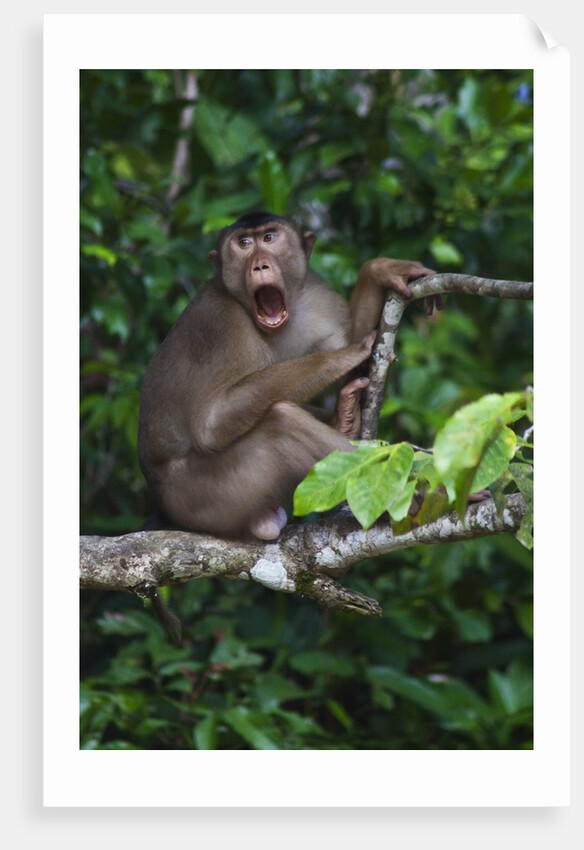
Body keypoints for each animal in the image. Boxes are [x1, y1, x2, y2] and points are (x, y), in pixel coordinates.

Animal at [138, 212, 434, 541]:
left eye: (269, 238)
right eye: (244, 243)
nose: (259, 265)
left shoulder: (316, 295)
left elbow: (346, 344)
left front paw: (379, 271)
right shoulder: (222, 323)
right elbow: (211, 422)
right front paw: (346, 355)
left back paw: (343, 420)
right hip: (208, 497)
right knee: (281, 422)